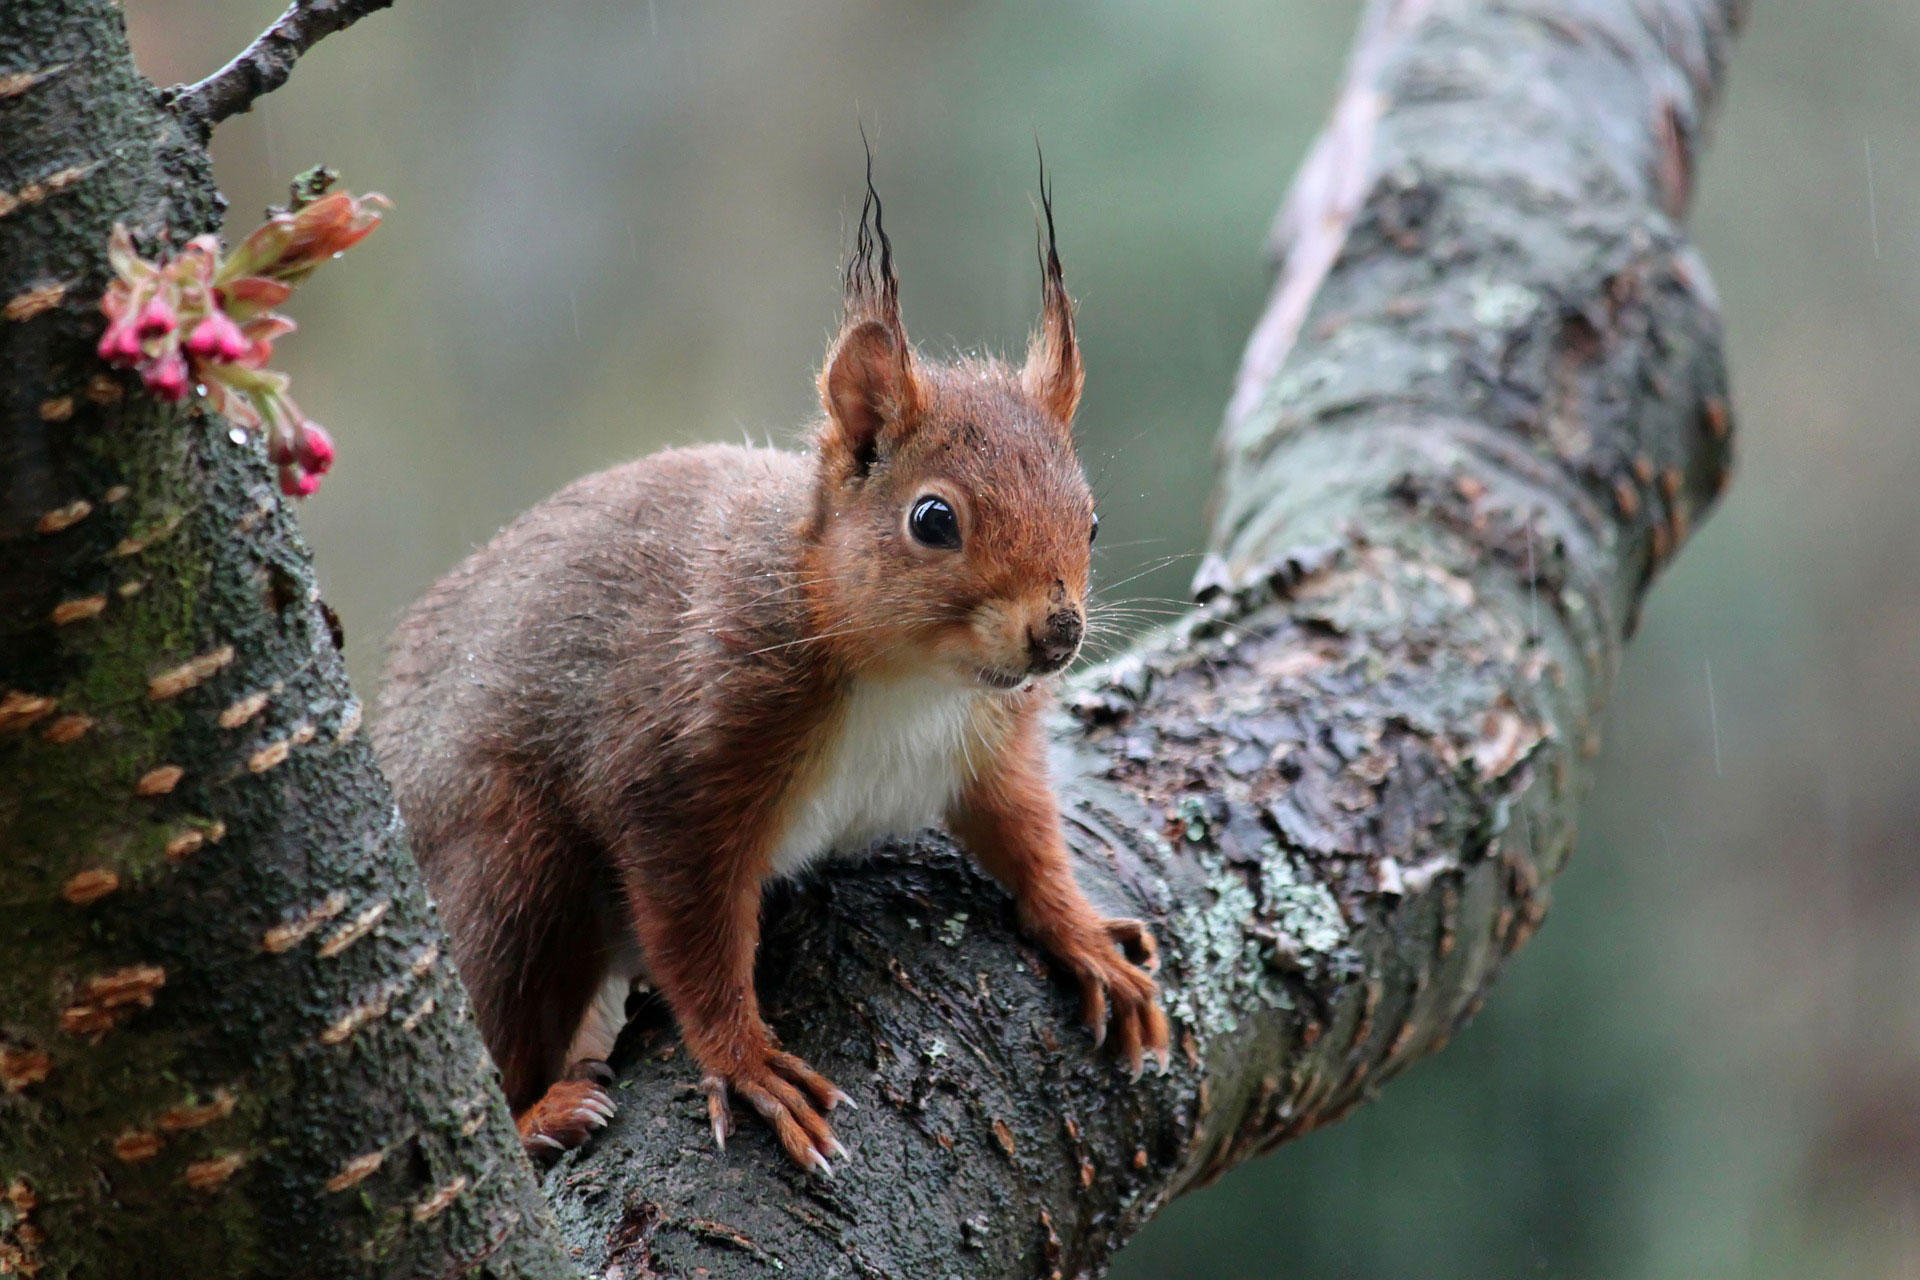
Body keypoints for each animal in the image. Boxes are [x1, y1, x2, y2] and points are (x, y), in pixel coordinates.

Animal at [372, 163, 1170, 1174]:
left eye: (1092, 521)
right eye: (933, 519)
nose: (1058, 633)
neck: (911, 683)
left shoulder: (990, 745)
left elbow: (1025, 835)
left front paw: (1084, 935)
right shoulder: (684, 760)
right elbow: (695, 935)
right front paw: (746, 1062)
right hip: (506, 863)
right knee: (494, 1016)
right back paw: (538, 1115)